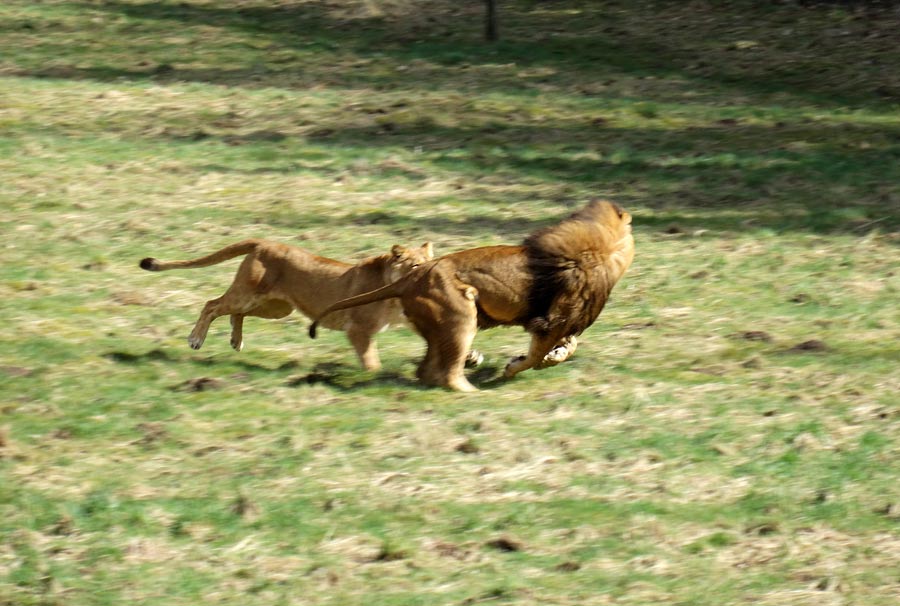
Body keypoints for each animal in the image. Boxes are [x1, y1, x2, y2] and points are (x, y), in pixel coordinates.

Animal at [140, 241, 432, 372]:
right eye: (416, 264)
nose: (431, 275)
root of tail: (262, 242)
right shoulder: (358, 329)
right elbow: (371, 361)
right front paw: (373, 377)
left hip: (277, 307)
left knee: (236, 313)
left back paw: (236, 340)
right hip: (247, 295)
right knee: (212, 305)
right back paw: (196, 339)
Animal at [310, 201, 632, 394]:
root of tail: (411, 277)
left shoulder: (563, 322)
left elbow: (569, 346)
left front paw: (555, 356)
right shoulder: (552, 320)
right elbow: (534, 356)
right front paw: (514, 367)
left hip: (441, 325)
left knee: (426, 370)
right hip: (462, 316)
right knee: (448, 374)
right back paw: (473, 393)